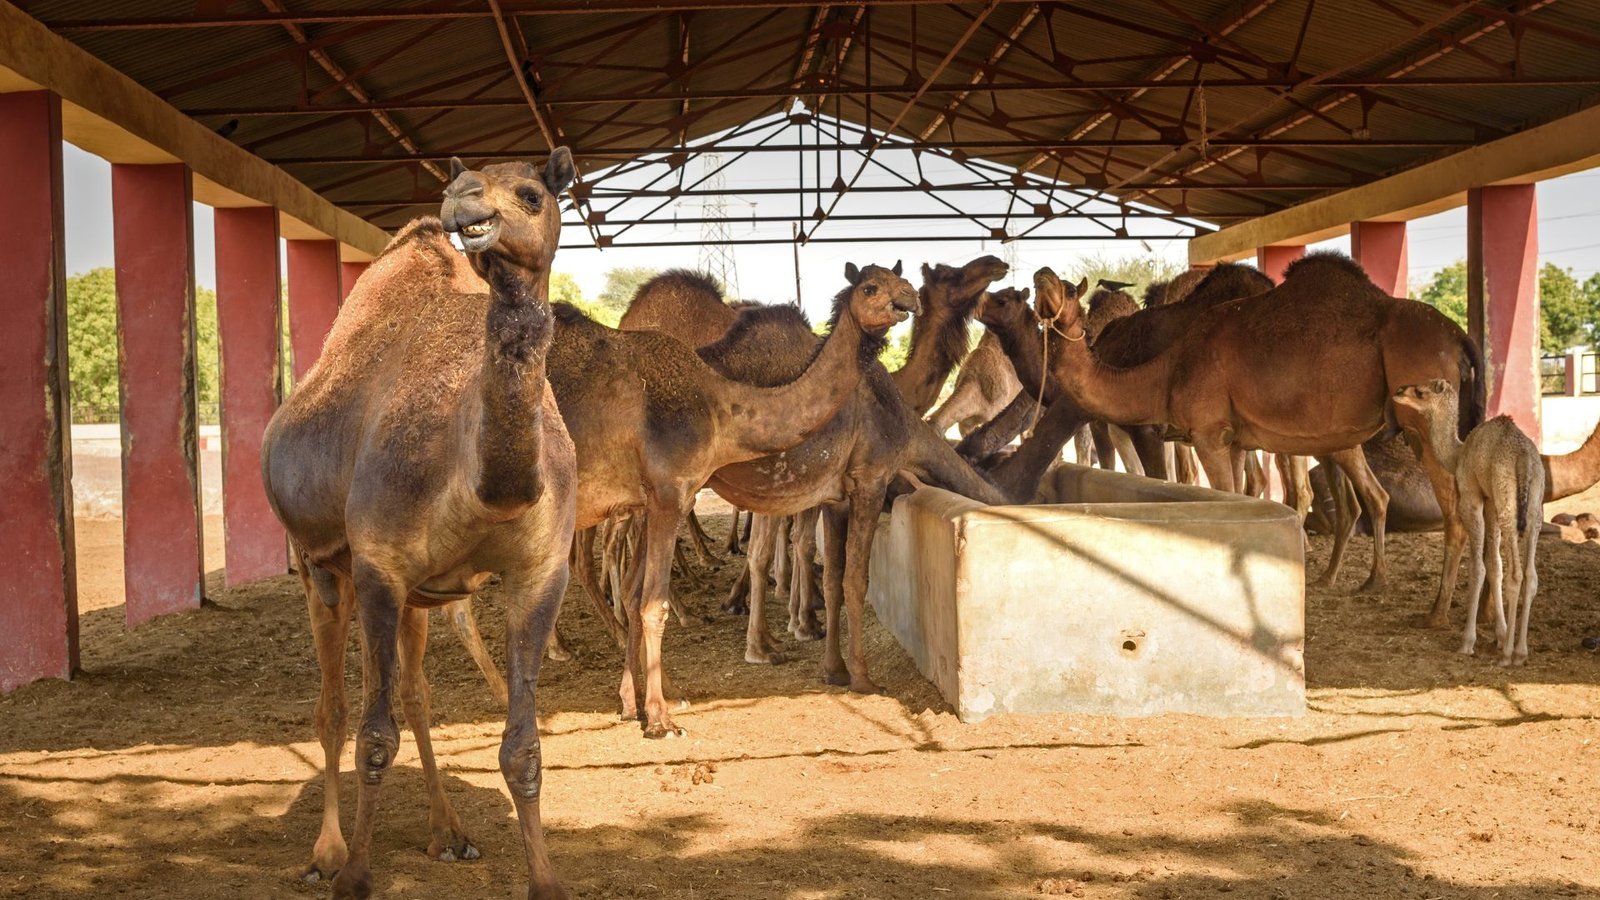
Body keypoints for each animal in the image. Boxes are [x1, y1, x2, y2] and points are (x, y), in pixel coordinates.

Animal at [263, 154, 579, 898]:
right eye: (462, 185)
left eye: (532, 192)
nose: (463, 200)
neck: (481, 486)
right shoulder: (380, 562)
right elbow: (374, 737)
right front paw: (353, 875)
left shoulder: (541, 571)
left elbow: (522, 747)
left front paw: (545, 879)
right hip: (321, 566)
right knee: (335, 707)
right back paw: (325, 851)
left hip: (417, 598)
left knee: (415, 695)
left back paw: (449, 832)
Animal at [1033, 253, 1481, 599]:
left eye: (1070, 291)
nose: (1042, 273)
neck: (1168, 369)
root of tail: (1459, 336)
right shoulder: (1232, 440)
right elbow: (1238, 492)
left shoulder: (1208, 433)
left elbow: (1224, 492)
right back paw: (1368, 582)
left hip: (1420, 418)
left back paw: (1438, 609)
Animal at [1393, 381, 1543, 664]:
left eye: (1420, 391)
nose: (1397, 392)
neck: (1458, 453)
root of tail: (1524, 460)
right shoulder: (1491, 501)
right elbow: (1494, 565)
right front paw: (1500, 635)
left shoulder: (1472, 496)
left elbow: (1478, 568)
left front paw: (1468, 641)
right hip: (1533, 508)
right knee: (1530, 574)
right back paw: (1521, 651)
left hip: (1508, 503)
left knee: (1516, 574)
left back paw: (1508, 655)